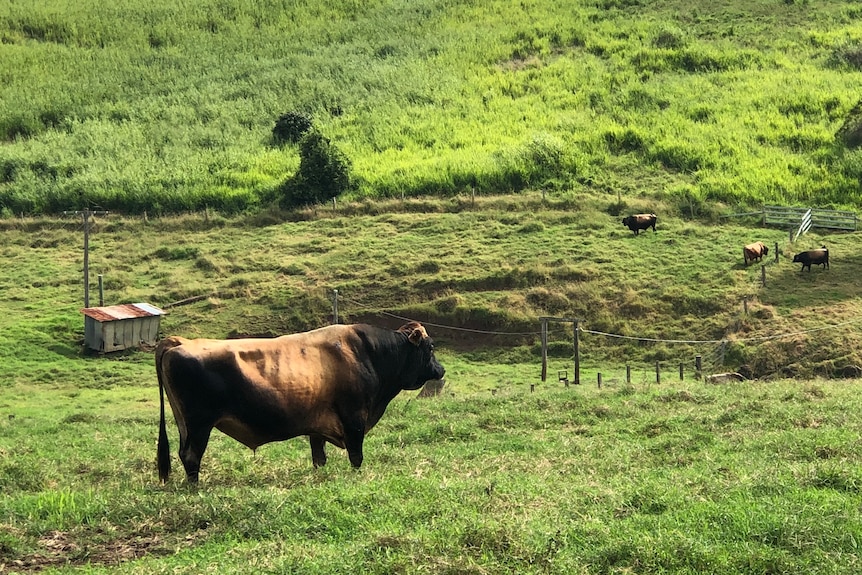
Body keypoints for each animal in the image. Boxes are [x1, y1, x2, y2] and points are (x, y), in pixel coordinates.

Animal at [156, 322, 448, 484]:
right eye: (431, 347)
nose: (441, 369)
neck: (367, 353)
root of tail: (179, 342)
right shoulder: (354, 418)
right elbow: (356, 456)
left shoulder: (317, 427)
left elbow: (319, 458)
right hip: (199, 424)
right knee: (192, 456)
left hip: (185, 425)